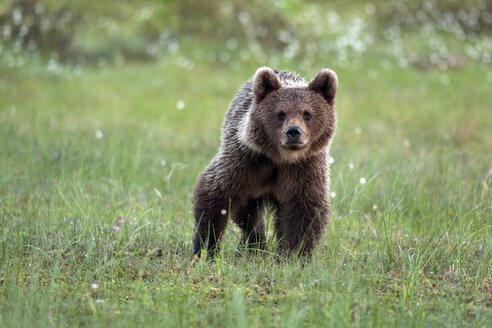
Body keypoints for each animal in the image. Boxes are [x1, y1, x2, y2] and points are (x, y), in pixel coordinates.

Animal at [190, 66, 336, 258]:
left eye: (307, 113)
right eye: (281, 113)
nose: (293, 131)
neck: (281, 158)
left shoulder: (304, 169)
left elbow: (304, 210)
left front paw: (293, 254)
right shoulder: (246, 161)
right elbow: (215, 194)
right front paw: (206, 249)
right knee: (248, 214)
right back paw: (255, 246)